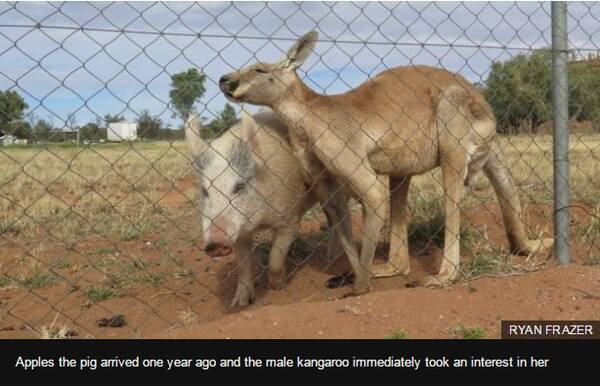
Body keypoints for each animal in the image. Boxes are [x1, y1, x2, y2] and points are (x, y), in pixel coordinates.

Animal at [185, 107, 350, 308]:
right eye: (205, 191)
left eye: (239, 186)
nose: (214, 244)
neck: (260, 222)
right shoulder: (239, 233)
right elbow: (244, 266)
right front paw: (238, 304)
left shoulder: (289, 217)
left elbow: (276, 255)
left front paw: (276, 286)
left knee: (340, 215)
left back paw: (332, 257)